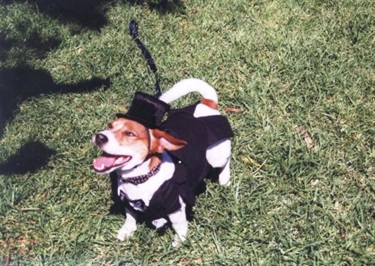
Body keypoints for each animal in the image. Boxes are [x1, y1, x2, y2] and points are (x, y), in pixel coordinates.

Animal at [92, 78, 234, 247]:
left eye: (130, 134)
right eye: (109, 126)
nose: (100, 136)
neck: (139, 179)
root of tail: (207, 104)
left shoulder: (175, 206)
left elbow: (179, 225)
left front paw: (179, 241)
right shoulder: (128, 201)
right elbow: (130, 216)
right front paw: (127, 231)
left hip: (216, 156)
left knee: (226, 162)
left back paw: (224, 180)